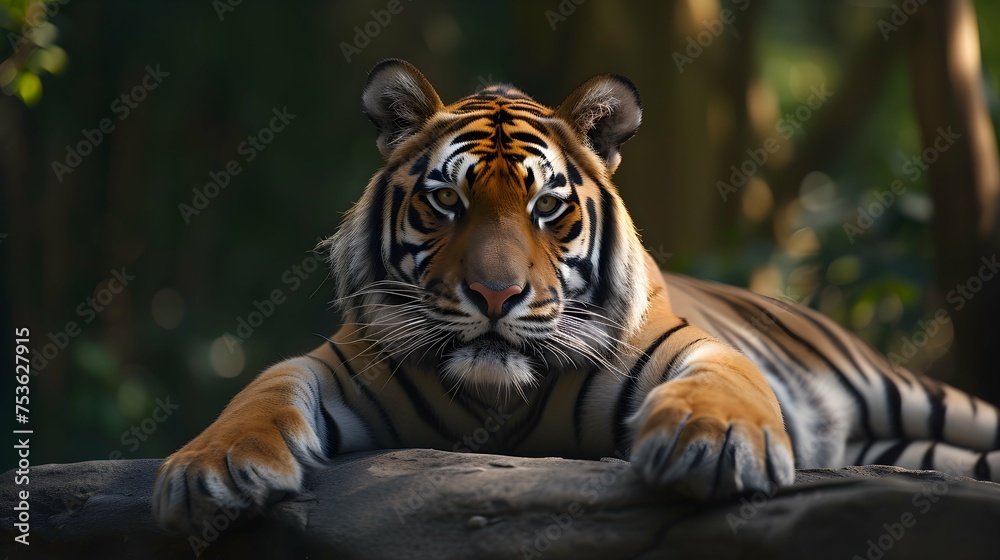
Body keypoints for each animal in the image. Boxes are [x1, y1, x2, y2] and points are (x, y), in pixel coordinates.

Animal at [153, 59, 1000, 532]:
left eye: (546, 207)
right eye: (447, 202)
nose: (495, 294)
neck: (498, 401)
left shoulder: (688, 347)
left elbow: (722, 382)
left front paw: (713, 441)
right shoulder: (341, 360)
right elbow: (259, 391)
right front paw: (213, 470)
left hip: (909, 394)